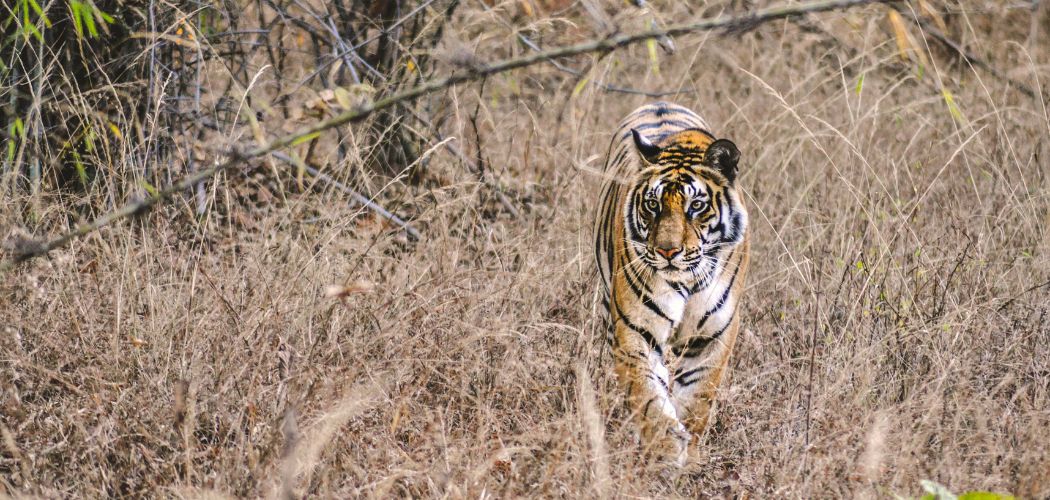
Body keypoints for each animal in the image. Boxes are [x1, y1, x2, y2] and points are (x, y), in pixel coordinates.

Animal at [593, 102, 750, 465]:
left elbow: (697, 398)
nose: (667, 251)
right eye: (653, 204)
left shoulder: (712, 337)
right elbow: (647, 396)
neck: (687, 279)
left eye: (697, 206)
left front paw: (688, 454)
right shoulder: (635, 330)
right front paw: (665, 447)